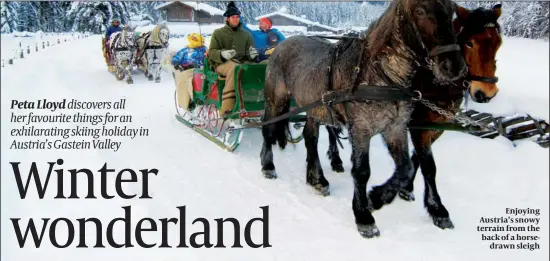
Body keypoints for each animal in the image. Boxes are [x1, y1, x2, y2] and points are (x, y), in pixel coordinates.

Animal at [262, 0, 466, 237]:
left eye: (452, 10)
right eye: (420, 11)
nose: (453, 66)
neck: (381, 76)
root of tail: (281, 45)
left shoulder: (396, 128)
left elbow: (405, 168)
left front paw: (376, 198)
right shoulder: (360, 129)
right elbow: (361, 171)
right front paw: (364, 216)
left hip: (315, 109)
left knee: (310, 138)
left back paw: (317, 180)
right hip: (276, 100)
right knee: (268, 130)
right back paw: (268, 166)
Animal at [326, 3, 506, 229]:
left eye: (498, 42)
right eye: (469, 42)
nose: (486, 92)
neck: (431, 81)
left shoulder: (434, 126)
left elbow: (416, 160)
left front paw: (405, 190)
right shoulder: (417, 125)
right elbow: (429, 166)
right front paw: (437, 209)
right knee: (330, 127)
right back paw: (335, 159)